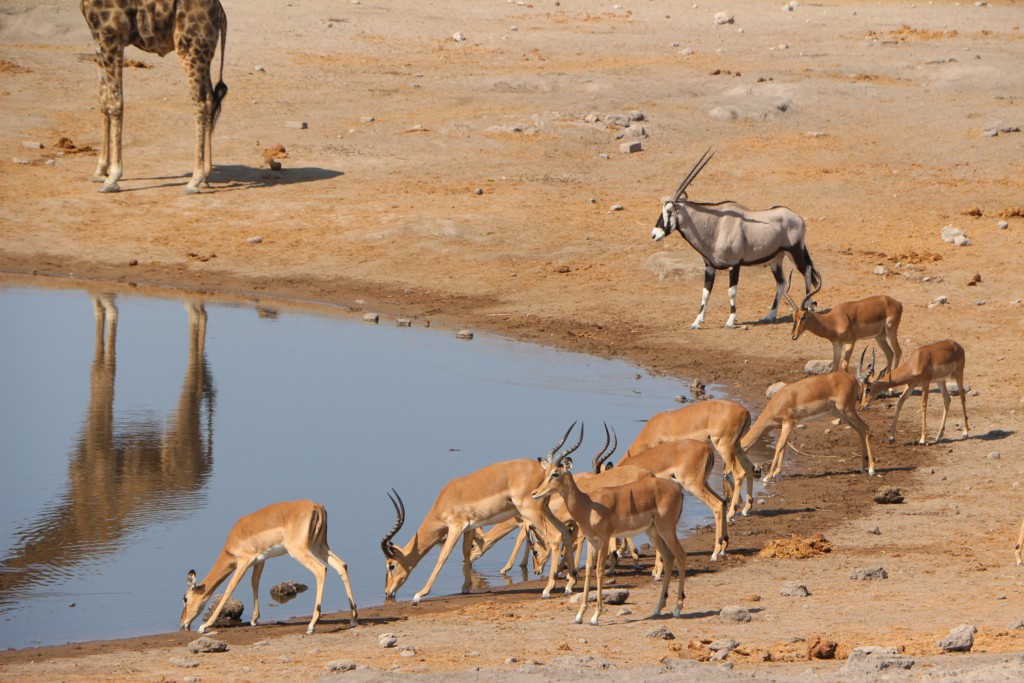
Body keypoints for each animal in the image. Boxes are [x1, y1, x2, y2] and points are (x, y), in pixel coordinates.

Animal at [81, 0, 230, 192]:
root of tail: (220, 12)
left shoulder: (112, 34)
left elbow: (116, 103)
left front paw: (112, 178)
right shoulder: (97, 37)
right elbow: (103, 102)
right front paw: (100, 172)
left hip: (190, 48)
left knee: (200, 103)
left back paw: (194, 180)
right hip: (203, 55)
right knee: (210, 100)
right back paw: (205, 176)